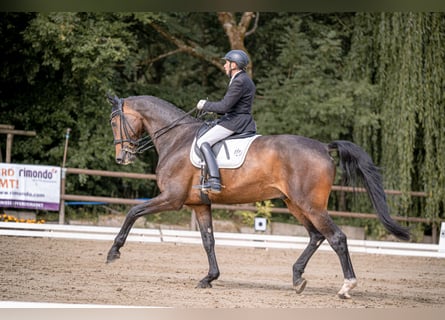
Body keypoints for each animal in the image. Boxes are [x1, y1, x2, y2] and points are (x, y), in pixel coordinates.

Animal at [105, 94, 410, 298]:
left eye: (114, 121)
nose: (122, 157)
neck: (176, 139)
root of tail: (323, 147)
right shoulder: (198, 204)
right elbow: (208, 241)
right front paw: (209, 278)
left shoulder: (172, 198)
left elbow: (132, 212)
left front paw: (113, 252)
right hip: (295, 204)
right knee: (316, 236)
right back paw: (297, 278)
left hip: (310, 205)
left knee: (336, 238)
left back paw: (346, 286)